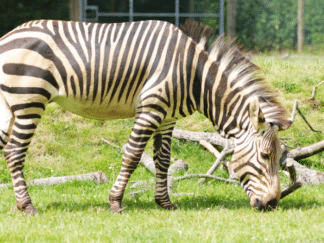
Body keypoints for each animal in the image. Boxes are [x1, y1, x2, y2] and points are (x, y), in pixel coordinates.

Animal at [0, 19, 292, 215]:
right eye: (266, 155)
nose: (272, 203)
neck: (195, 77)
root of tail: (8, 36)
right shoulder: (151, 108)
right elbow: (132, 155)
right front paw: (115, 202)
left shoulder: (168, 117)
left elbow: (163, 160)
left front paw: (165, 202)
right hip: (29, 99)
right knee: (15, 151)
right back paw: (27, 206)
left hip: (8, 105)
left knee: (6, 148)